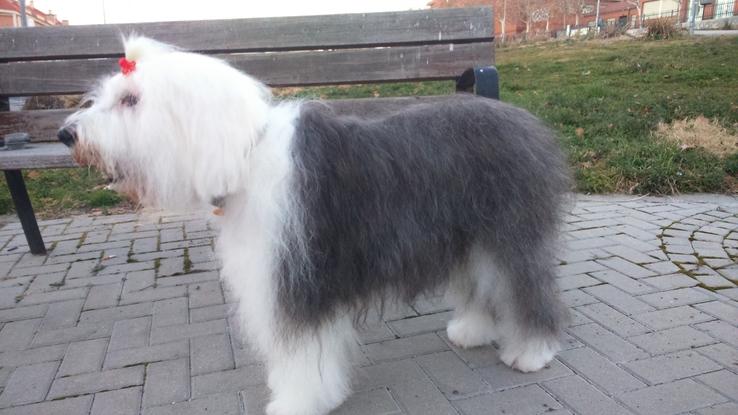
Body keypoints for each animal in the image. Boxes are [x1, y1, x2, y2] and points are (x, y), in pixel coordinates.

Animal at [59, 36, 568, 415]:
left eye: (131, 100)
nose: (67, 134)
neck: (244, 157)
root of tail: (520, 117)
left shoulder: (297, 277)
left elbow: (301, 354)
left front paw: (296, 401)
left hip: (509, 231)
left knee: (526, 286)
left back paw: (531, 352)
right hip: (465, 236)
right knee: (480, 283)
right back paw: (472, 330)